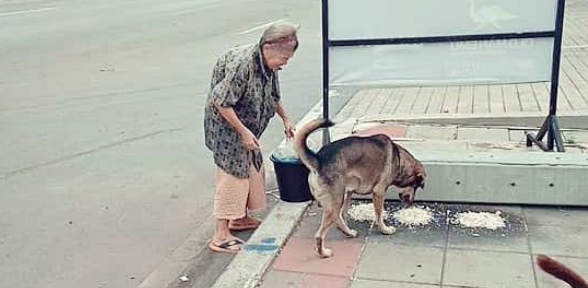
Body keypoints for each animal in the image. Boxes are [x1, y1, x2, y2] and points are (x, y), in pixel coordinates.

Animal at [296, 118, 424, 258]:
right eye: (416, 185)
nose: (411, 203)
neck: (399, 159)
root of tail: (318, 160)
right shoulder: (379, 192)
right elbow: (379, 215)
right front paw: (385, 229)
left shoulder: (349, 192)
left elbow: (344, 212)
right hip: (335, 203)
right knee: (320, 235)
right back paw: (324, 252)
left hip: (337, 200)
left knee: (338, 218)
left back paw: (348, 232)